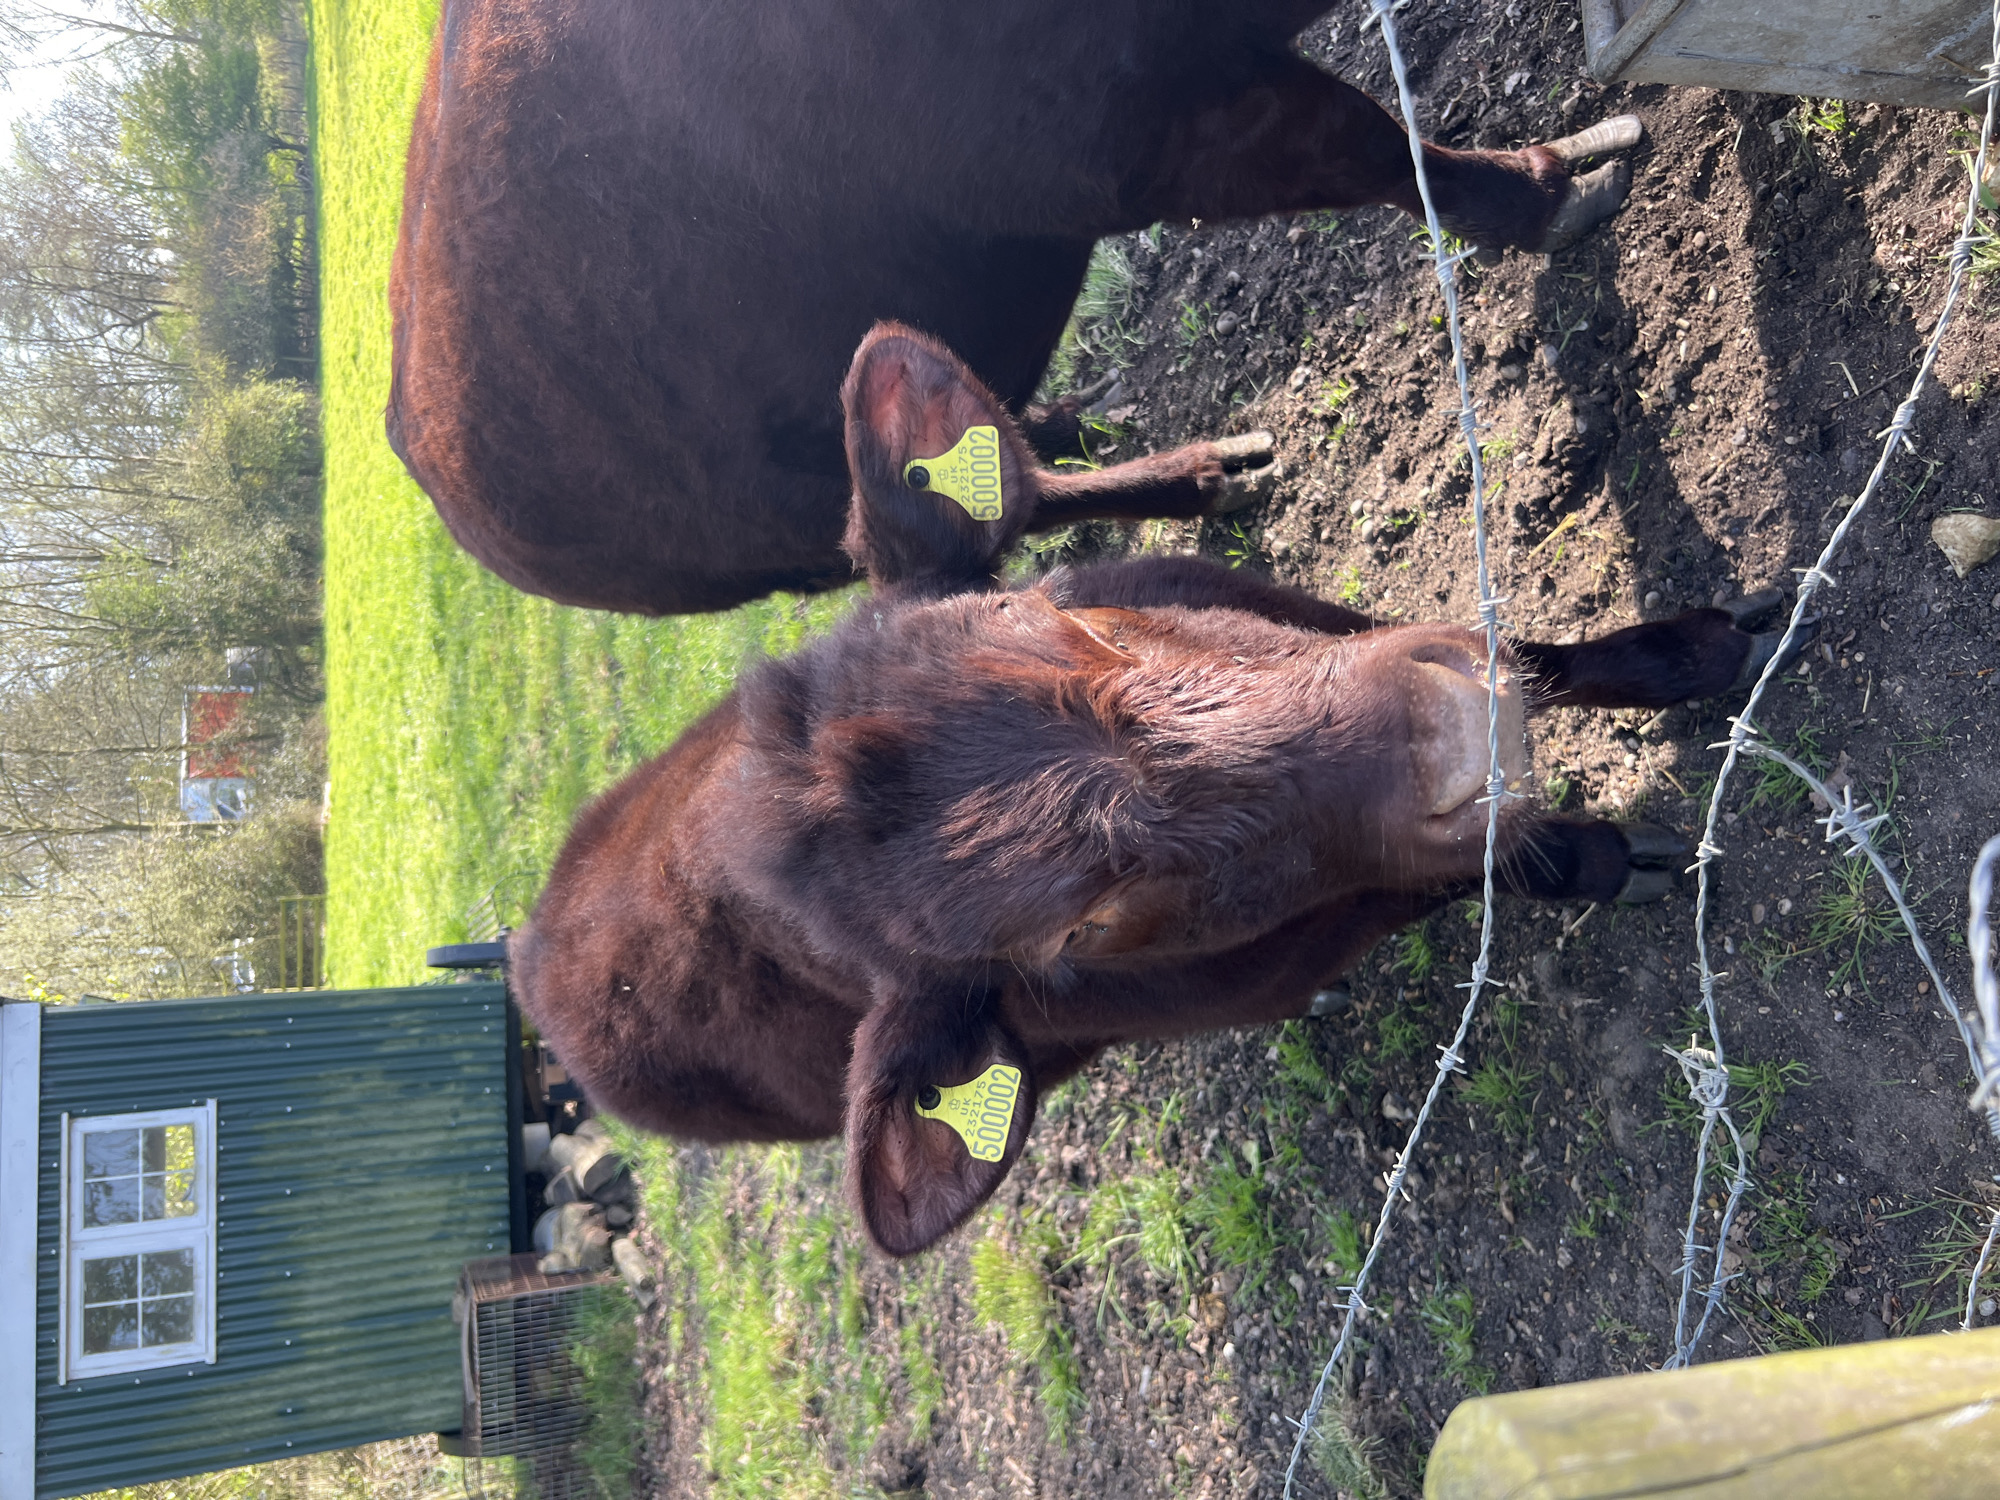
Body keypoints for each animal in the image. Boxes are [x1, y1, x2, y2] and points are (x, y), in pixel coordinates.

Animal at [388, 0, 1642, 616]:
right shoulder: (1141, 135)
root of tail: (424, 456)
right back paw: (1204, 474)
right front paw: (1549, 188)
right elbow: (1379, 149)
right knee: (1014, 501)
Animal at [509, 325, 1799, 1257]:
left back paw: (1210, 470)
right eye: (1082, 926)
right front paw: (1612, 860)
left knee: (1021, 485)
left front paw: (1698, 647)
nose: (1452, 734)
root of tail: (528, 946)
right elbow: (1497, 861)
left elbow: (1532, 650)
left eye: (1062, 620)